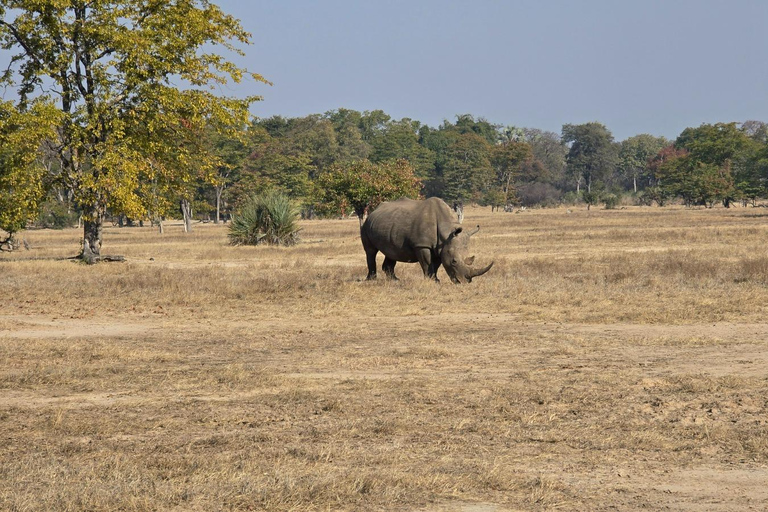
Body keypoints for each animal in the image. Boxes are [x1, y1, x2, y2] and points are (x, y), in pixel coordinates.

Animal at [361, 197, 494, 283]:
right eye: (454, 261)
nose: (467, 281)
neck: (447, 233)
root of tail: (374, 210)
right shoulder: (422, 245)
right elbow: (426, 263)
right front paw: (431, 280)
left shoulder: (440, 247)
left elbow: (436, 264)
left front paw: (436, 280)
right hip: (366, 224)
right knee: (370, 251)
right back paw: (371, 280)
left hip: (389, 224)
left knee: (392, 251)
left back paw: (395, 280)